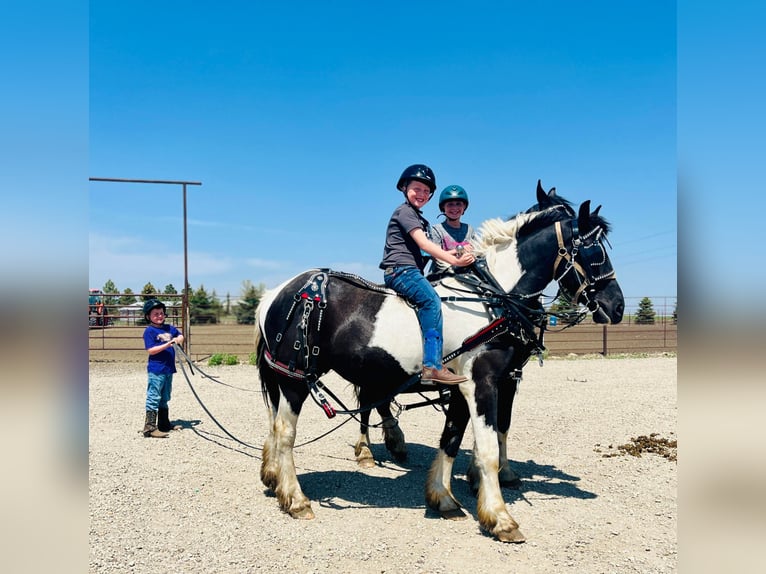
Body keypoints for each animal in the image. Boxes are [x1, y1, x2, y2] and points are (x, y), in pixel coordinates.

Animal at [255, 181, 628, 544]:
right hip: (295, 378)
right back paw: (296, 497)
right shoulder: (484, 381)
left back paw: (277, 476)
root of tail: (276, 293)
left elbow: (453, 438)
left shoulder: (474, 383)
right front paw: (500, 517)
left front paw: (444, 497)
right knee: (286, 430)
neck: (491, 298)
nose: (617, 306)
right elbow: (488, 447)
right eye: (594, 252)